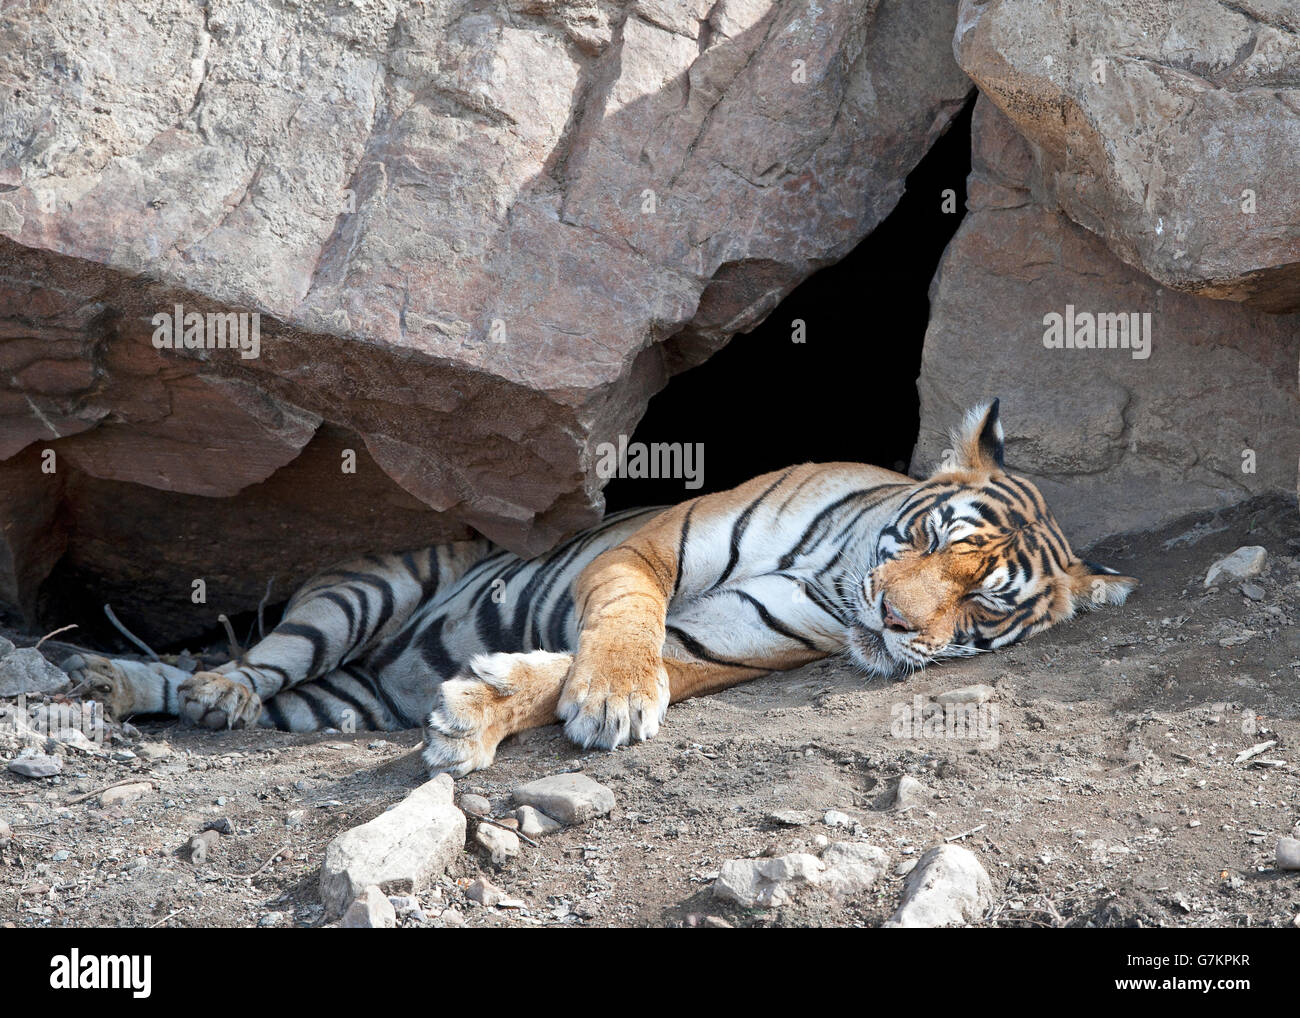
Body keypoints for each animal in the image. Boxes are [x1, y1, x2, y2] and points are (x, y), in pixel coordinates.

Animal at [63, 397, 1138, 774]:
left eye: (983, 605)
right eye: (926, 539)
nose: (896, 620)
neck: (836, 577)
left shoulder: (725, 639)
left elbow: (567, 671)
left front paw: (481, 712)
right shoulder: (646, 551)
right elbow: (624, 622)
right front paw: (615, 696)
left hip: (339, 704)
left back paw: (115, 685)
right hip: (358, 595)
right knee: (258, 659)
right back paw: (187, 686)